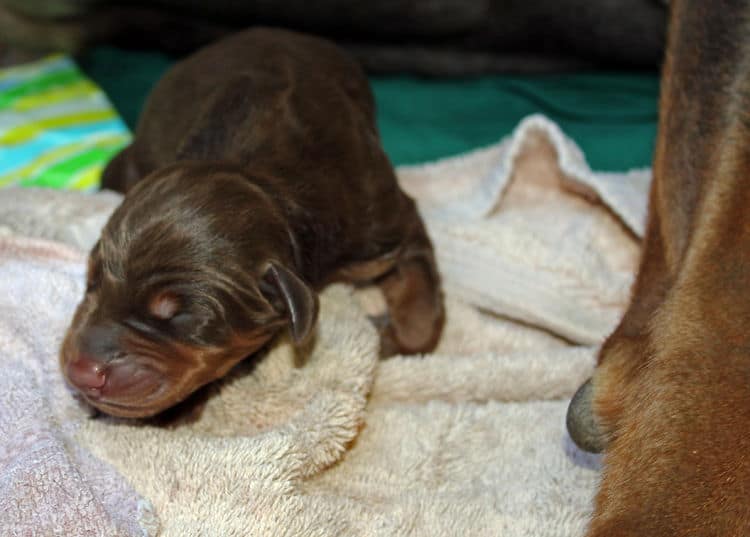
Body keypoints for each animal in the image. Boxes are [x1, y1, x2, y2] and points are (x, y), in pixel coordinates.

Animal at [61, 26, 446, 418]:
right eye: (91, 281)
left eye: (182, 317)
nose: (81, 374)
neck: (267, 184)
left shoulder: (387, 226)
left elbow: (421, 314)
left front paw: (388, 335)